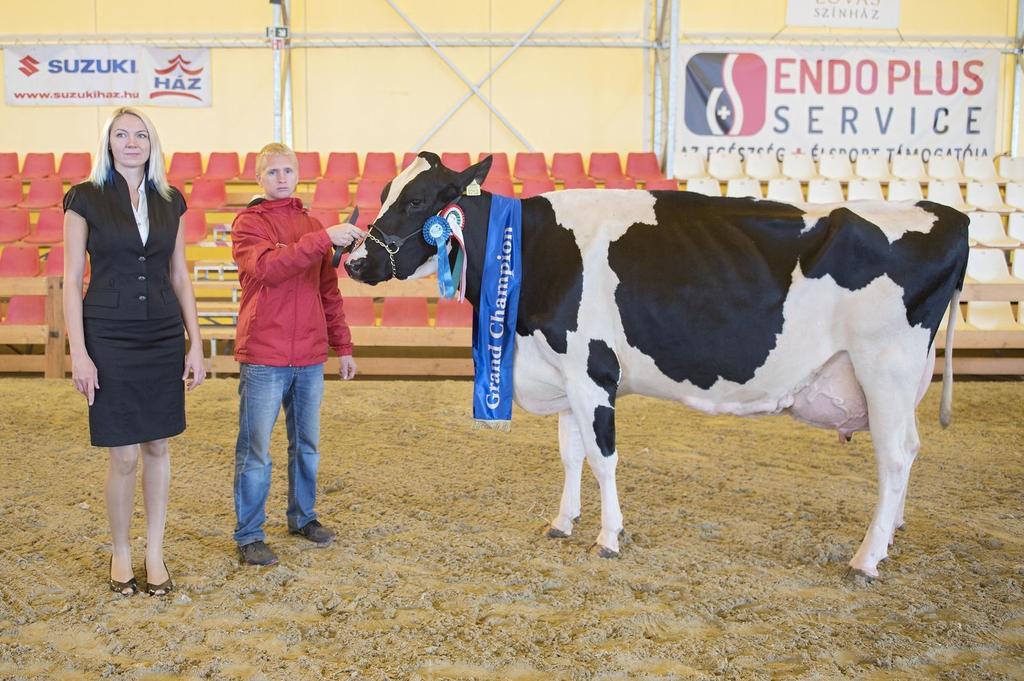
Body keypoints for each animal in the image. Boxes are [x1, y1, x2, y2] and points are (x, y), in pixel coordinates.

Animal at [344, 153, 966, 577]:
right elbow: (570, 455)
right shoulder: (563, 369)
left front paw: (608, 536)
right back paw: (891, 535)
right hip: (901, 379)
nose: (354, 260)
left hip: (884, 368)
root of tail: (947, 214)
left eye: (418, 201)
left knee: (894, 459)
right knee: (909, 451)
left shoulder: (593, 370)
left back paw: (867, 558)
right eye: (384, 190)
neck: (533, 253)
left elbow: (602, 460)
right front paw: (562, 522)